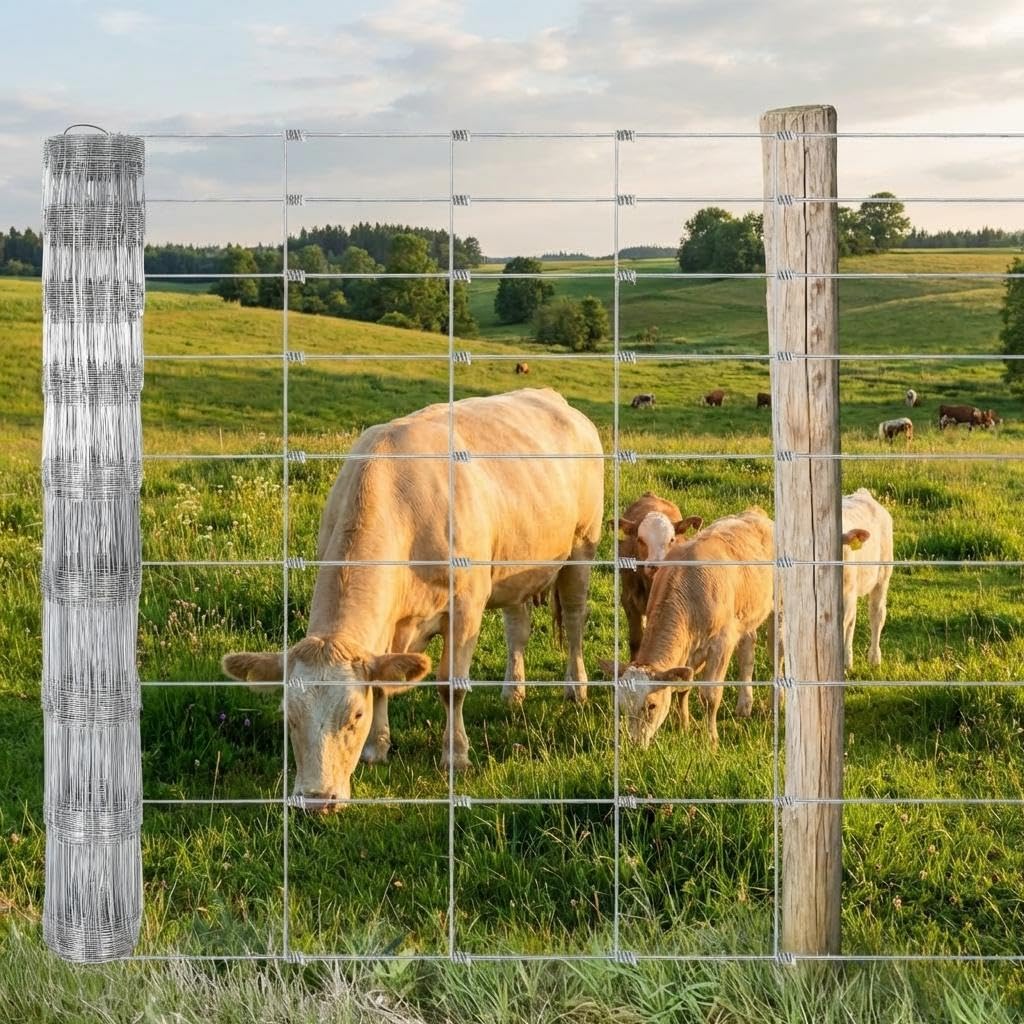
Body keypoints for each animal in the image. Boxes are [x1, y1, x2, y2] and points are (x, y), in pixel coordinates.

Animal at [222, 388, 603, 811]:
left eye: (355, 716)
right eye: (289, 717)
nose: (317, 800)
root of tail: (553, 397)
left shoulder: (467, 605)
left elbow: (450, 686)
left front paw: (456, 755)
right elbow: (382, 680)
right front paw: (377, 749)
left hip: (581, 548)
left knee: (574, 621)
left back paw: (576, 688)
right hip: (513, 565)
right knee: (517, 629)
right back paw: (512, 693)